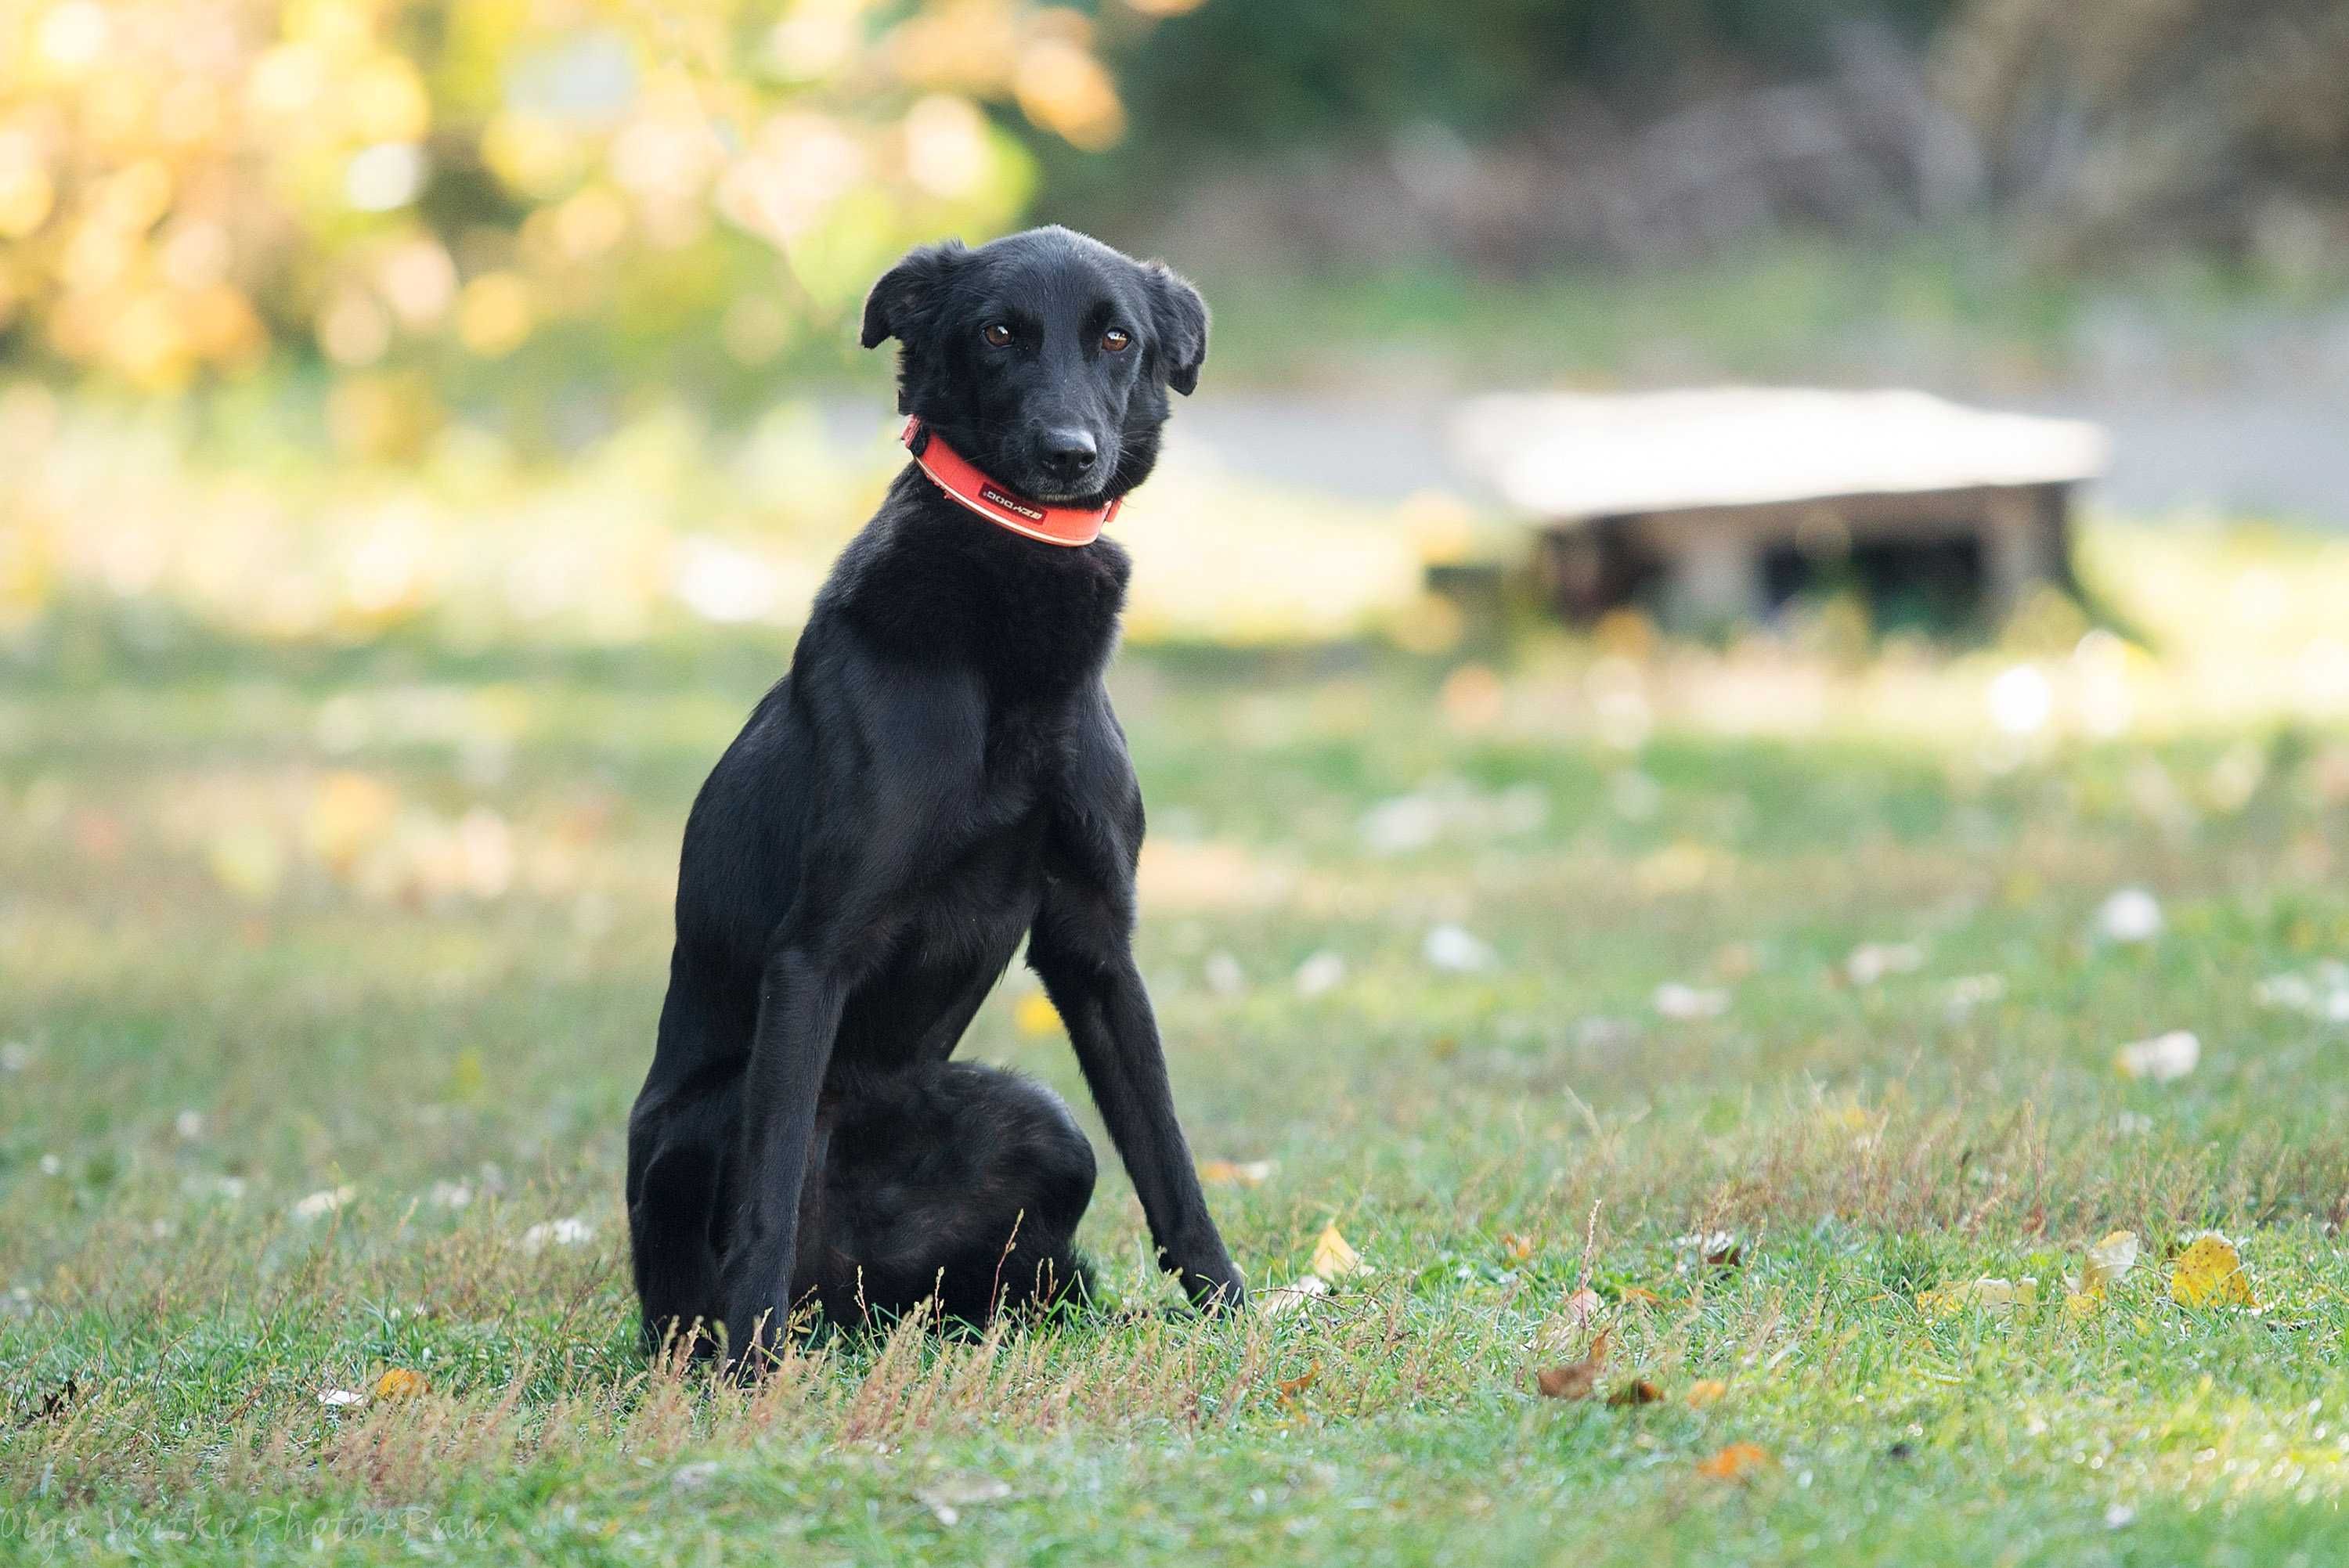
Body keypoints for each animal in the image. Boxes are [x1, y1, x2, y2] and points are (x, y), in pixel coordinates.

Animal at [625, 220, 1250, 1361]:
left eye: (1116, 338)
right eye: (1000, 332)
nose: (1067, 455)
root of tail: (855, 1298)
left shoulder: (1096, 946)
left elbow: (1169, 1157)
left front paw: (1229, 1304)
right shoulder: (812, 956)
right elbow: (768, 1189)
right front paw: (748, 1362)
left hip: (1047, 1125)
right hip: (713, 1129)